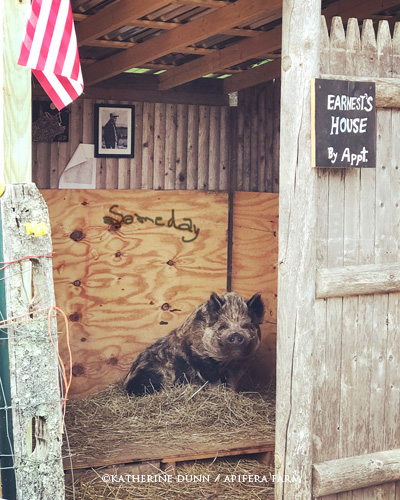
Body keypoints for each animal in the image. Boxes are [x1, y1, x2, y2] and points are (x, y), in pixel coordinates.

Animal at [123, 292, 264, 396]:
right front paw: (218, 393)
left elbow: (232, 382)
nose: (235, 334)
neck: (227, 360)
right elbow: (213, 380)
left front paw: (232, 394)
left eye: (246, 326)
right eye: (223, 326)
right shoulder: (200, 357)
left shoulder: (240, 364)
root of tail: (126, 382)